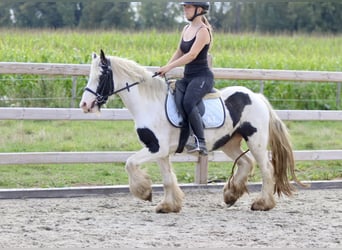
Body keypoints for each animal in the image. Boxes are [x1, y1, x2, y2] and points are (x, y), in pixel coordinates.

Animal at [79, 50, 304, 213]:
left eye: (101, 76)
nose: (85, 105)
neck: (149, 104)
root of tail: (256, 96)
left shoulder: (156, 148)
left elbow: (130, 163)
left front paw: (144, 192)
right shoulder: (160, 152)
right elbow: (167, 178)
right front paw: (168, 206)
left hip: (255, 140)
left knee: (266, 169)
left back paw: (262, 203)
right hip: (230, 142)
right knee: (246, 163)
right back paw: (231, 195)